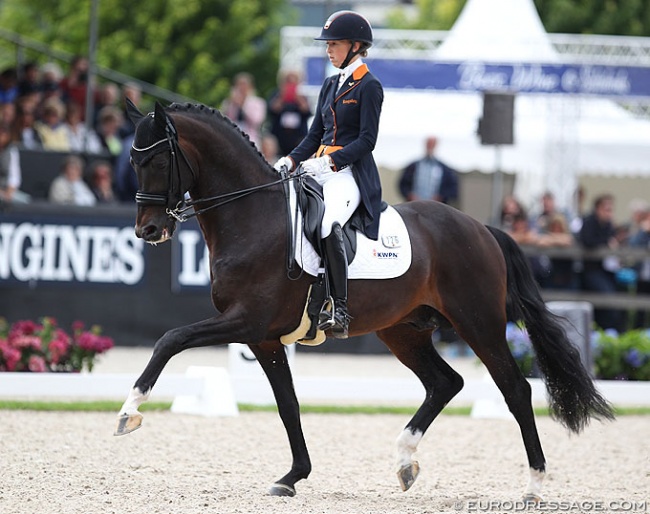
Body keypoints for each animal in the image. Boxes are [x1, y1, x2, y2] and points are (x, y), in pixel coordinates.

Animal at [114, 99, 612, 496]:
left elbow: (171, 339)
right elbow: (288, 404)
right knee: (445, 383)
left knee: (515, 390)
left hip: (479, 323)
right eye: (133, 162)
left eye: (158, 161)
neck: (253, 217)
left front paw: (128, 413)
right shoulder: (264, 338)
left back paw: (534, 485)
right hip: (404, 331)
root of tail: (481, 228)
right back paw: (406, 461)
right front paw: (292, 476)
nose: (148, 231)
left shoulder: (248, 321)